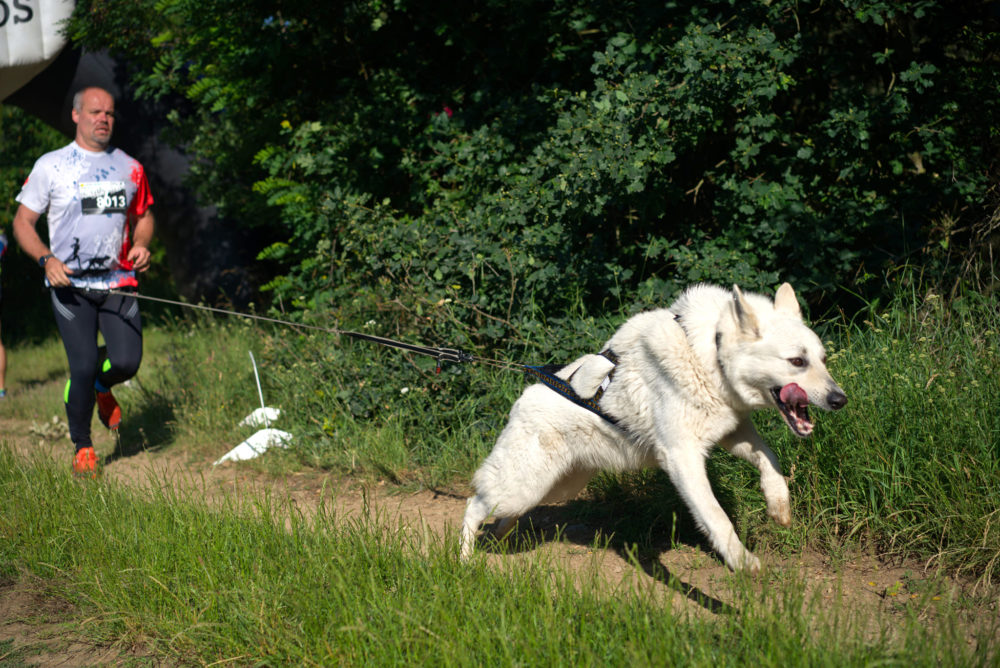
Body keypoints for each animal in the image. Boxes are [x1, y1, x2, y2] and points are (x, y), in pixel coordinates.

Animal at [460, 284, 844, 572]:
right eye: (797, 361)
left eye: (822, 359)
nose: (840, 399)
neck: (710, 355)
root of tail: (522, 401)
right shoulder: (681, 457)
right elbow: (717, 518)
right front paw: (743, 564)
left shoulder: (731, 434)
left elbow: (771, 462)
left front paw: (779, 509)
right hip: (523, 487)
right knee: (473, 506)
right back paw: (463, 561)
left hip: (554, 488)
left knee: (500, 517)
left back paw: (494, 543)